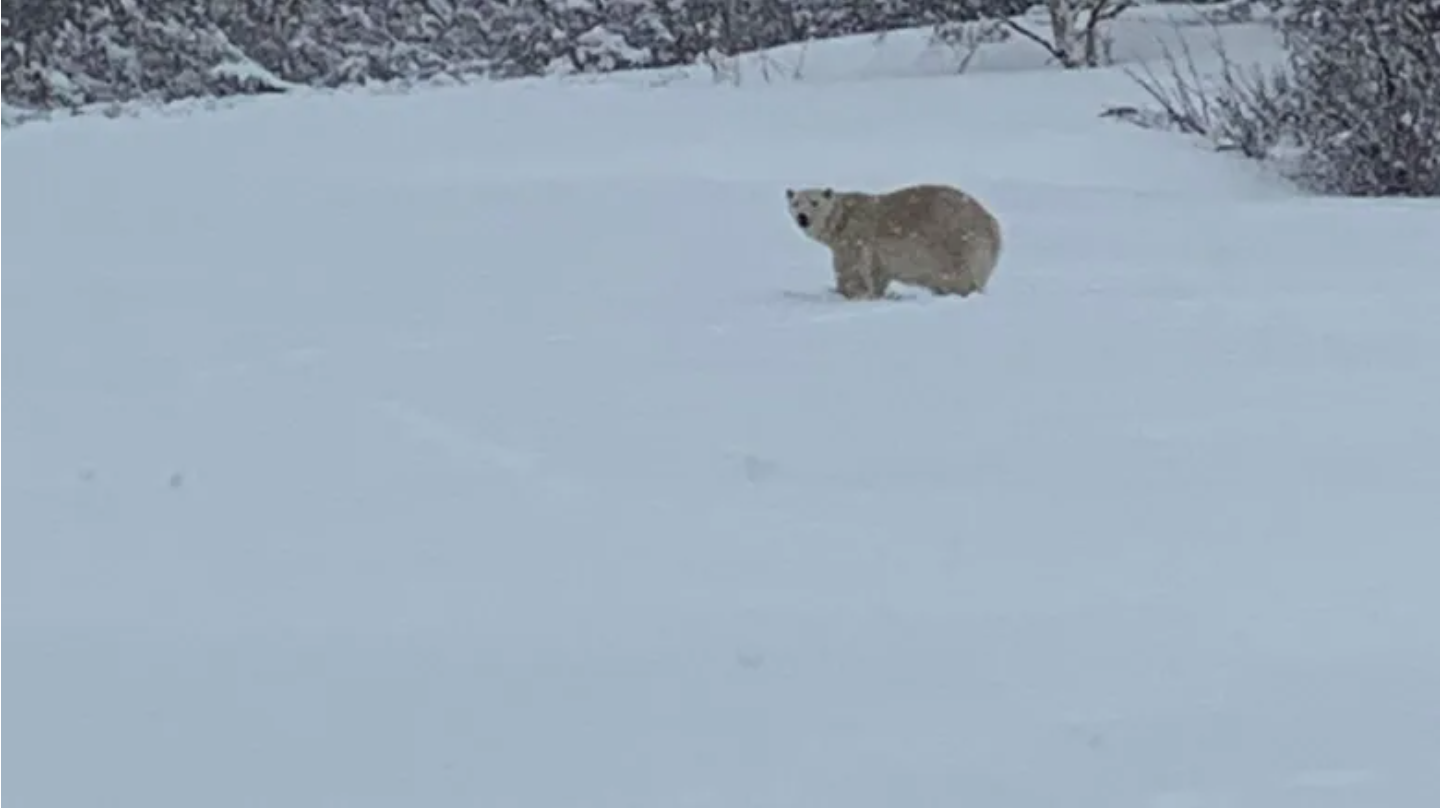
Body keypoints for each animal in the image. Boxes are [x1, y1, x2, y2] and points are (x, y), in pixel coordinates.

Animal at [789, 182, 1002, 299]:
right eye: (795, 202)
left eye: (815, 202)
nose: (802, 217)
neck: (842, 219)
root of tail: (992, 225)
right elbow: (877, 274)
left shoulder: (854, 237)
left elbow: (851, 270)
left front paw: (847, 293)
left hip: (957, 243)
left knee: (957, 277)